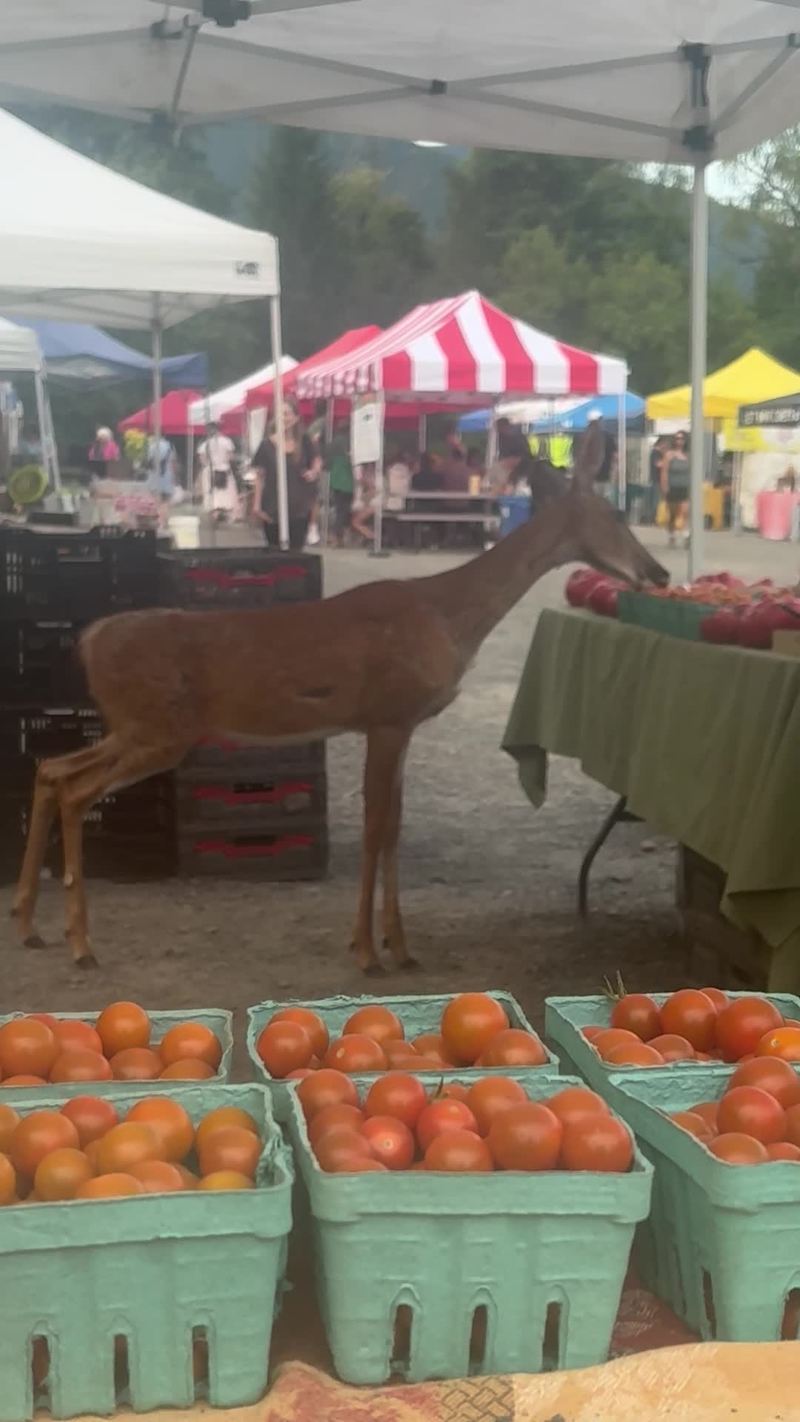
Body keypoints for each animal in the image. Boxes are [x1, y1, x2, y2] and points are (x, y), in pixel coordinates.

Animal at [11, 423, 668, 974]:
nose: (659, 572)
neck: (447, 614)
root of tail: (91, 639)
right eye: (614, 512)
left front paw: (398, 947)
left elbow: (393, 826)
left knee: (51, 769)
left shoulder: (399, 723)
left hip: (136, 727)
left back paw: (30, 926)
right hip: (157, 729)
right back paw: (80, 944)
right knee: (74, 789)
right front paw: (369, 952)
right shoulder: (388, 715)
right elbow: (377, 827)